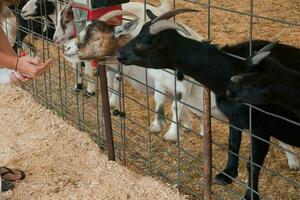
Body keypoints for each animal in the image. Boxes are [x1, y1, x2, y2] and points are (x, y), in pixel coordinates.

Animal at [116, 8, 300, 200]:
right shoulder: (235, 118)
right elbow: (232, 144)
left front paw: (250, 195)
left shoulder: (259, 126)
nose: (120, 55)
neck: (231, 69)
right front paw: (226, 176)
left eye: (142, 45)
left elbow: (253, 163)